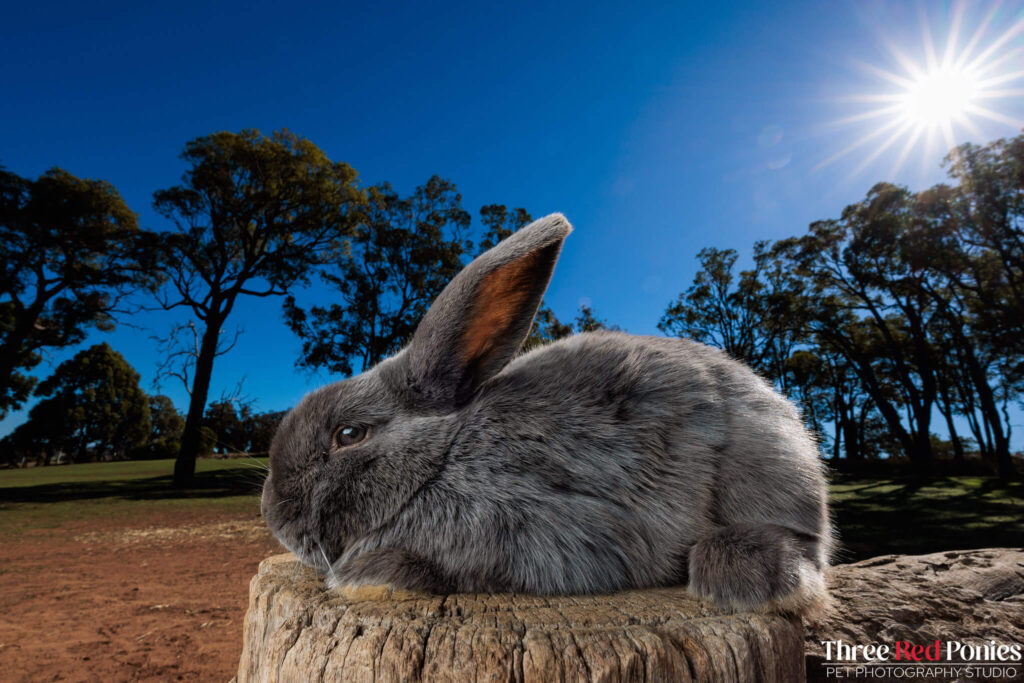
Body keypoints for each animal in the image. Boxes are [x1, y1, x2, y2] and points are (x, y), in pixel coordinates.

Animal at [262, 214, 831, 614]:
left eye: (349, 434)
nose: (273, 515)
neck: (445, 455)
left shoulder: (551, 527)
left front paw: (368, 577)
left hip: (768, 464)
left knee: (804, 544)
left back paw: (747, 577)